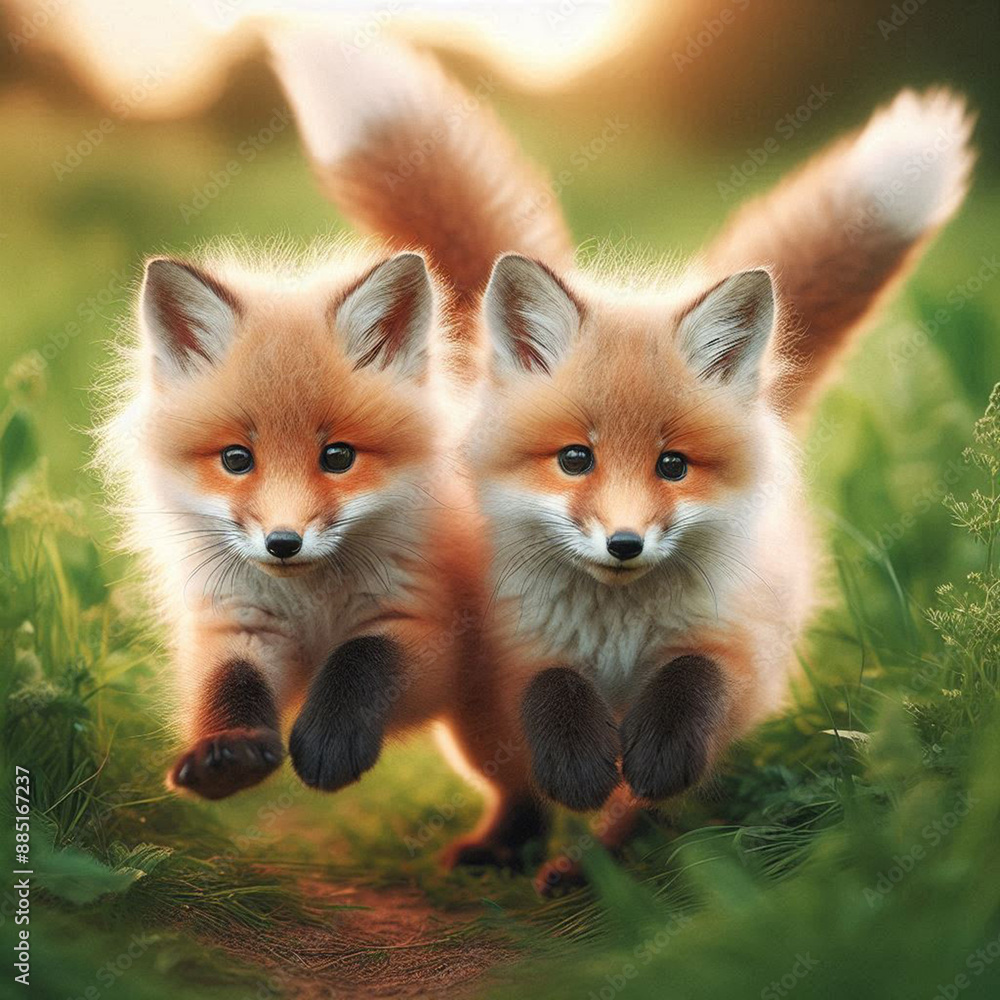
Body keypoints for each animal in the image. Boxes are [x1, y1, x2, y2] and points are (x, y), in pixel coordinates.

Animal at [96, 239, 496, 803]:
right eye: (236, 459)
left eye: (338, 456)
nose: (283, 542)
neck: (311, 605)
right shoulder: (240, 623)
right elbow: (230, 683)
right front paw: (229, 750)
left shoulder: (428, 625)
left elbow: (362, 657)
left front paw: (330, 739)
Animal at [270, 31, 974, 888]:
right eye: (575, 458)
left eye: (674, 466)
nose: (625, 544)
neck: (614, 627)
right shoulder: (514, 648)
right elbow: (554, 698)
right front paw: (576, 771)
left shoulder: (734, 645)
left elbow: (688, 695)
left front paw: (640, 780)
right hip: (477, 728)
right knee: (517, 790)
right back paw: (510, 847)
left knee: (638, 804)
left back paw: (600, 863)